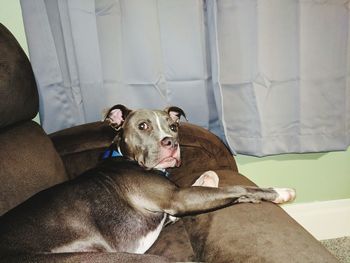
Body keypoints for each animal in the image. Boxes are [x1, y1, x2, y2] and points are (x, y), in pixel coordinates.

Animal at [0, 104, 296, 256]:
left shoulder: (174, 205)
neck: (123, 157)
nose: (171, 143)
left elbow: (210, 179)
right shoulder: (176, 198)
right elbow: (235, 188)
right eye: (143, 126)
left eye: (173, 126)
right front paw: (279, 192)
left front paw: (209, 178)